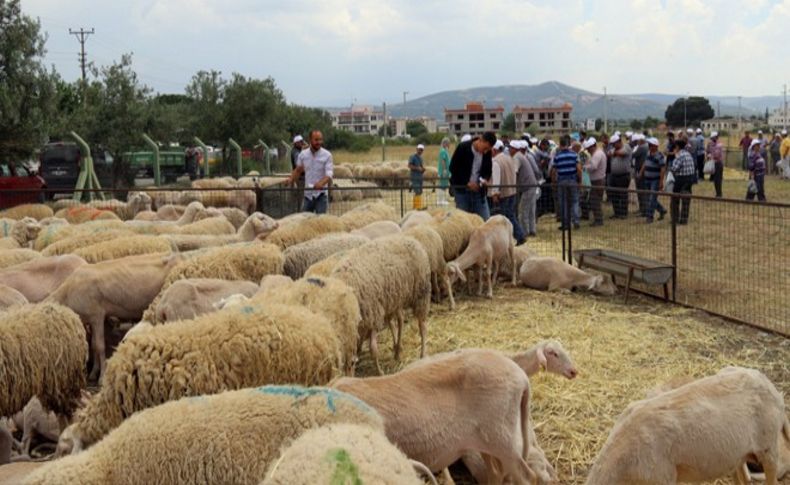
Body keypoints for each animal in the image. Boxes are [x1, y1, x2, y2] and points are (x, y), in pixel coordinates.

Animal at [328, 236, 430, 372]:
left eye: (352, 364)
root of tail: (412, 240)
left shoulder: (372, 315)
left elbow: (373, 348)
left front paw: (380, 372)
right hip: (394, 298)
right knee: (399, 320)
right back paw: (397, 350)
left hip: (421, 293)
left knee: (422, 326)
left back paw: (422, 354)